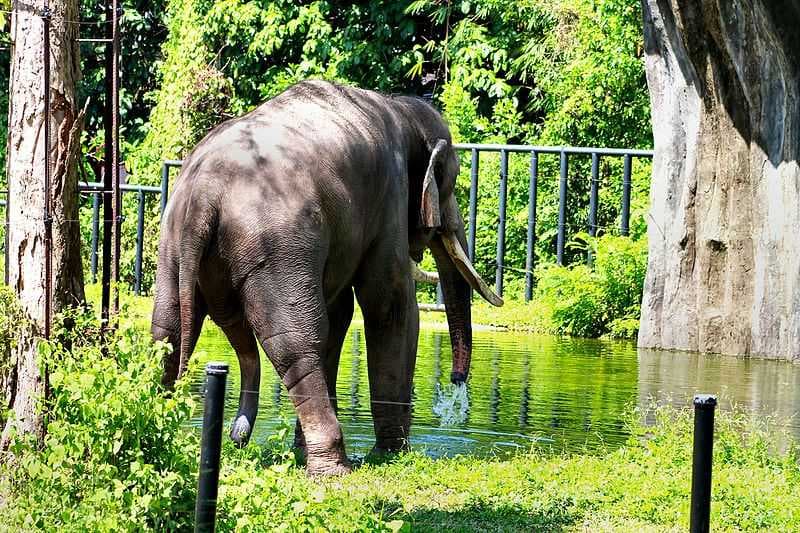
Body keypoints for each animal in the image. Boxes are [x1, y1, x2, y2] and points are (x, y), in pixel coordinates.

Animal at [151, 80, 503, 475]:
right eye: (451, 183)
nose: (456, 383)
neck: (402, 108)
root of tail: (204, 194)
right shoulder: (389, 199)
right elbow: (390, 306)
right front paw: (392, 455)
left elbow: (342, 311)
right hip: (275, 246)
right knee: (297, 342)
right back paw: (334, 468)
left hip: (174, 244)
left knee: (167, 333)